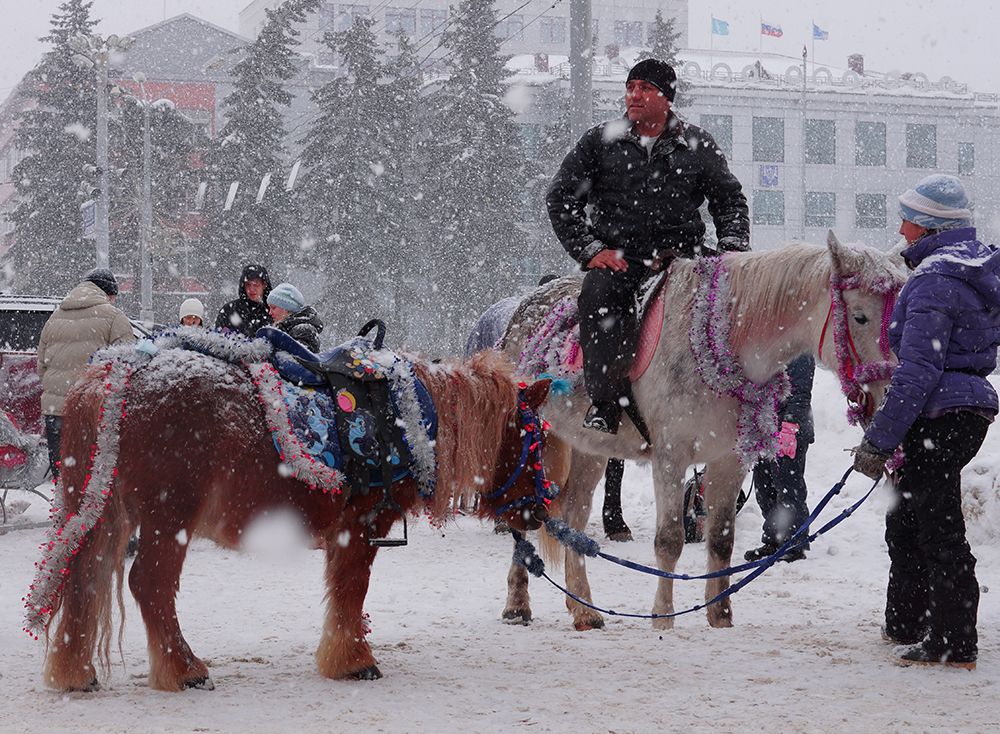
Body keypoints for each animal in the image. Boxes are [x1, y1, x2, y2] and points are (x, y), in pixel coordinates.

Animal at [33, 348, 556, 692]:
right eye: (537, 441)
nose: (539, 512)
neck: (408, 420)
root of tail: (113, 376)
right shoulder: (362, 525)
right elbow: (352, 589)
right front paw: (352, 660)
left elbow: (344, 590)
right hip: (168, 516)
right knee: (150, 584)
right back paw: (182, 668)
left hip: (110, 513)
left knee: (86, 580)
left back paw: (76, 671)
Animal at [500, 236, 908, 632]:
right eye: (860, 316)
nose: (891, 393)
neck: (726, 338)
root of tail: (523, 308)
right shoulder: (670, 456)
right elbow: (669, 539)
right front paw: (663, 615)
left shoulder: (729, 460)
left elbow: (722, 538)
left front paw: (720, 614)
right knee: (528, 512)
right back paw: (518, 604)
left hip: (590, 448)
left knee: (574, 517)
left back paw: (583, 609)